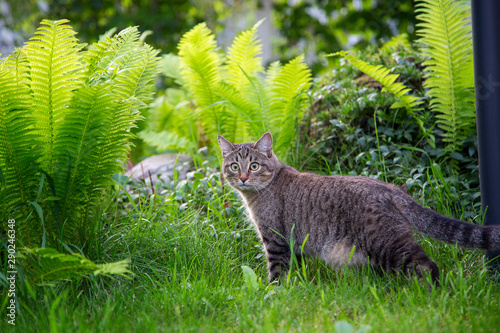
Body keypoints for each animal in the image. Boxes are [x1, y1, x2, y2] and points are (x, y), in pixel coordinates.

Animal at [217, 131, 500, 282]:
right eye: (235, 166)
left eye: (254, 166)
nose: (243, 178)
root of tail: (391, 189)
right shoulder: (295, 244)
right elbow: (295, 269)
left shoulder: (275, 239)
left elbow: (276, 272)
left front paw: (273, 294)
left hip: (385, 242)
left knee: (426, 265)